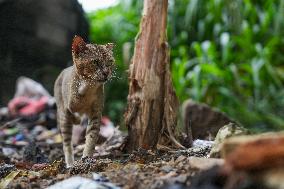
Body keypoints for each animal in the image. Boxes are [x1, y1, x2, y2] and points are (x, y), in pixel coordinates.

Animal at [54, 35, 114, 167]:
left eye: (110, 62)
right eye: (95, 62)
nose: (106, 73)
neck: (89, 89)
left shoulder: (96, 113)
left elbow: (91, 136)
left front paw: (86, 157)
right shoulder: (71, 104)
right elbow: (73, 108)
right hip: (63, 116)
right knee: (67, 144)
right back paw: (70, 164)